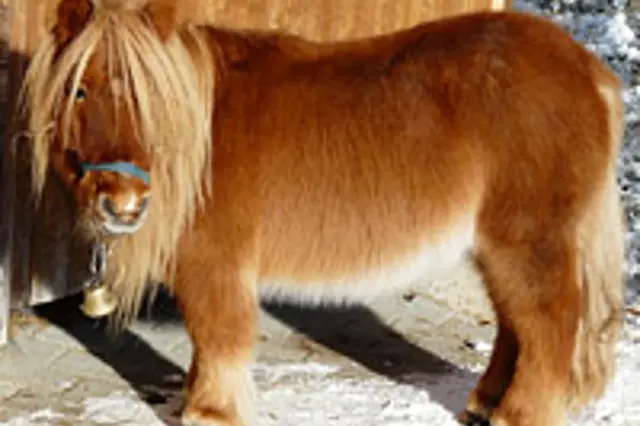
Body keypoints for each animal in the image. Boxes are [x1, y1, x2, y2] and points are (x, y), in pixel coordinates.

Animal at [19, 0, 625, 425]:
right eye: (78, 91)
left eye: (151, 100)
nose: (123, 203)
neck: (199, 137)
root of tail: (587, 68)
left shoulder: (214, 268)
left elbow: (219, 340)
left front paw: (208, 411)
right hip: (494, 246)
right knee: (514, 326)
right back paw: (483, 403)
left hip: (527, 242)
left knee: (548, 325)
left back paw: (516, 415)